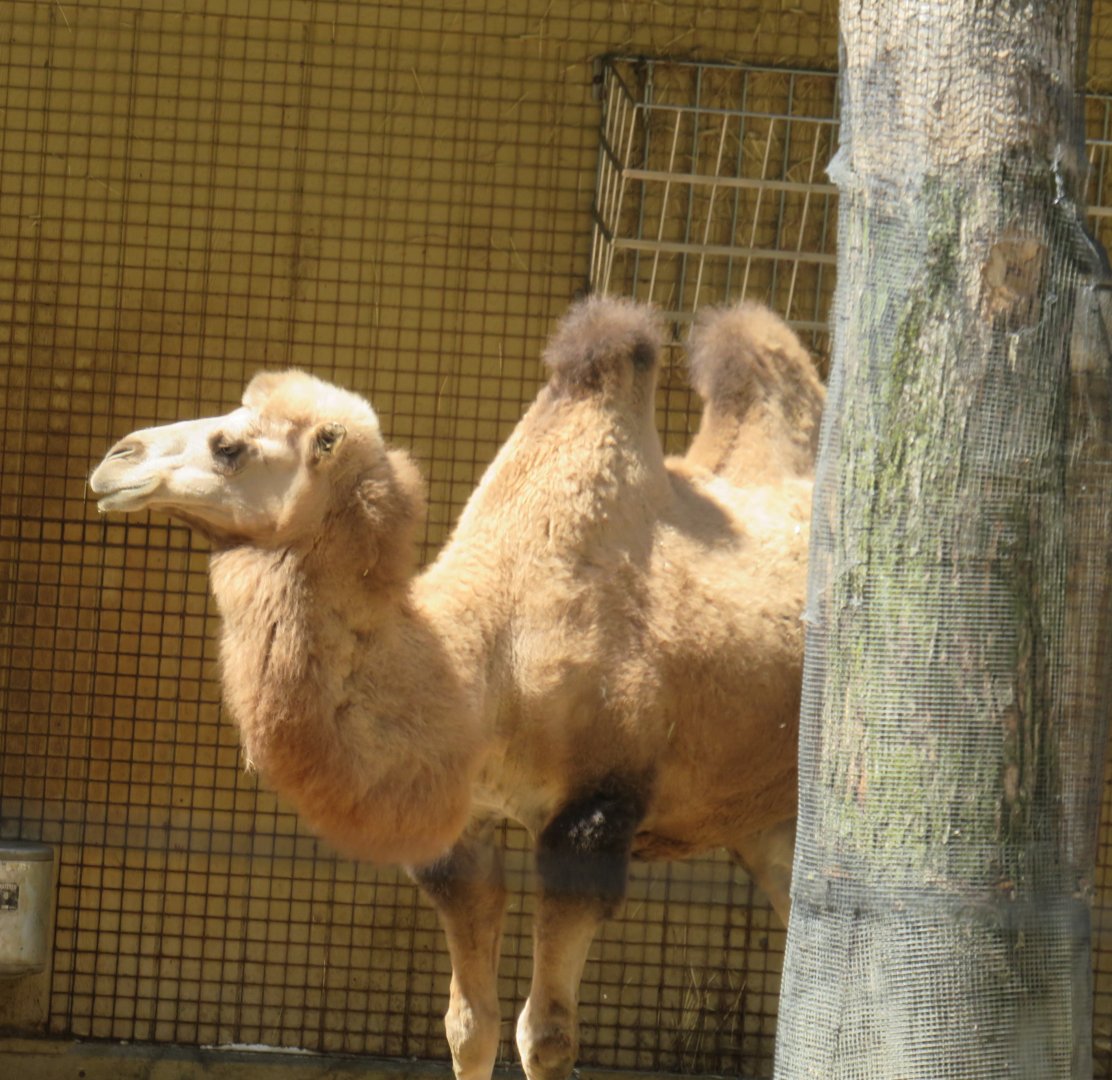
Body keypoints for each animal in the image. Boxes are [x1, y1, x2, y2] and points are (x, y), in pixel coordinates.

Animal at [88, 296, 823, 1080]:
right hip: (767, 821)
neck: (485, 671)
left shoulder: (594, 811)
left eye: (230, 446)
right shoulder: (461, 829)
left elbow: (546, 1034)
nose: (114, 458)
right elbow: (469, 1025)